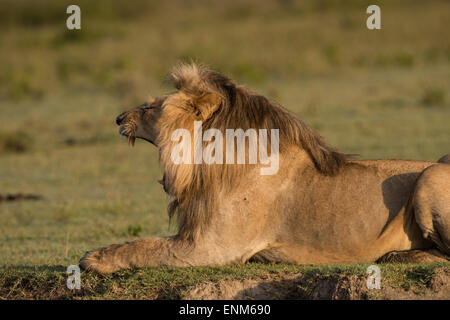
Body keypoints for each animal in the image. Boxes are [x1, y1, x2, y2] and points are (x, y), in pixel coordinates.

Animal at [81, 62, 450, 272]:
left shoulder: (211, 247)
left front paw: (93, 258)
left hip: (431, 174)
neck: (204, 163)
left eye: (149, 107)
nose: (118, 118)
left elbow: (144, 246)